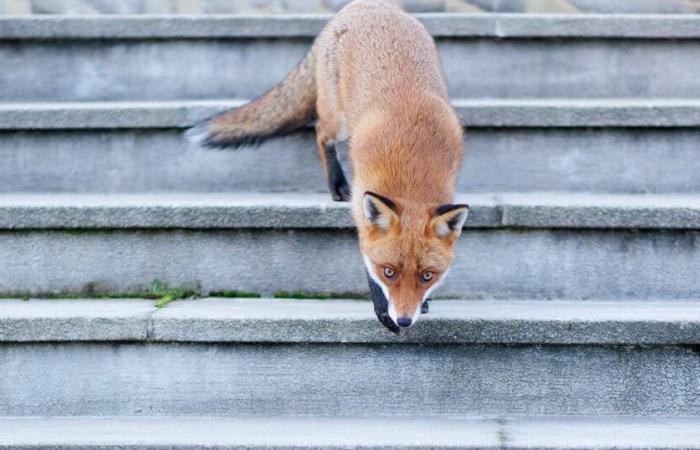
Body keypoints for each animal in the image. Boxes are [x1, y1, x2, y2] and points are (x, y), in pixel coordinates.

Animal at [189, 0, 468, 332]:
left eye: (427, 276)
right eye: (388, 271)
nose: (403, 319)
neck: (413, 164)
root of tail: (365, 4)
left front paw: (423, 303)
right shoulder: (362, 202)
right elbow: (365, 257)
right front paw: (382, 309)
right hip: (338, 121)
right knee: (321, 132)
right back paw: (336, 184)